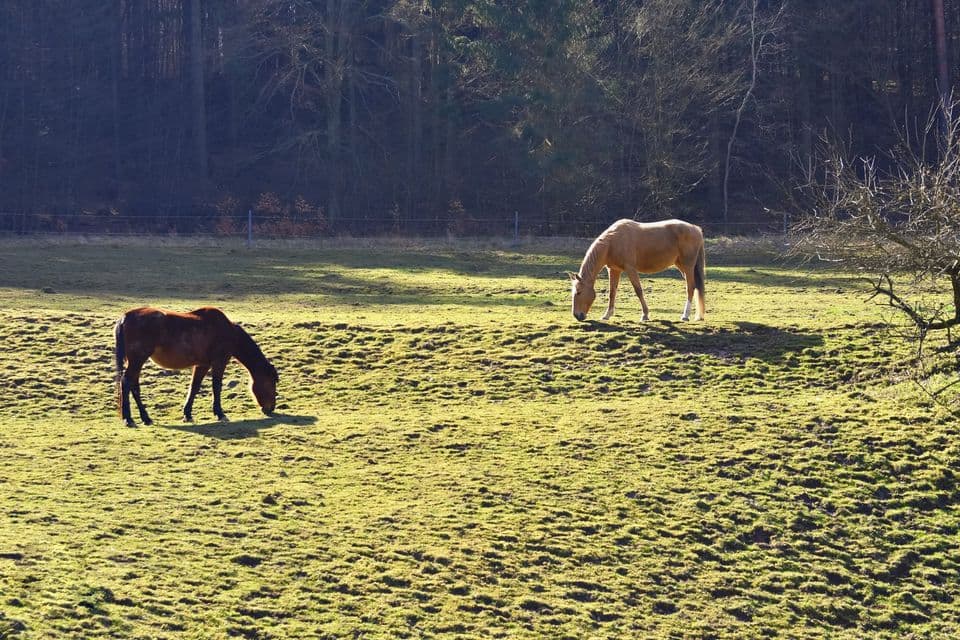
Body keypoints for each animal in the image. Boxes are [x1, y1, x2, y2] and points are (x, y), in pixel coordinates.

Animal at [114, 307, 279, 427]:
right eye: (272, 382)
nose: (271, 408)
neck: (228, 331)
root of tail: (125, 317)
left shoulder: (202, 365)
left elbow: (194, 387)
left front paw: (187, 414)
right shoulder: (219, 362)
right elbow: (216, 386)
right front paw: (220, 413)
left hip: (136, 361)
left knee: (133, 385)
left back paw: (145, 418)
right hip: (138, 360)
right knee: (127, 382)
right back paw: (129, 419)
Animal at [568, 218, 706, 322]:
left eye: (579, 292)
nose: (577, 315)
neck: (612, 242)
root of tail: (696, 229)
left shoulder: (630, 269)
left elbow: (638, 290)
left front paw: (645, 315)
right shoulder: (614, 270)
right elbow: (612, 292)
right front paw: (607, 315)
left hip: (688, 267)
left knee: (690, 288)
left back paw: (685, 316)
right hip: (682, 267)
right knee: (695, 288)